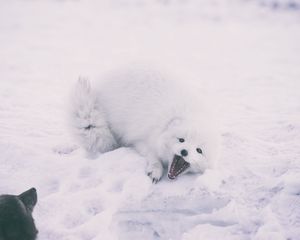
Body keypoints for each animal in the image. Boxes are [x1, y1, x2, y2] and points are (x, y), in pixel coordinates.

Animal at [71, 67, 219, 182]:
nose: (184, 152)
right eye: (181, 140)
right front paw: (155, 170)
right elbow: (153, 156)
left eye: (199, 150)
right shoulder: (142, 140)